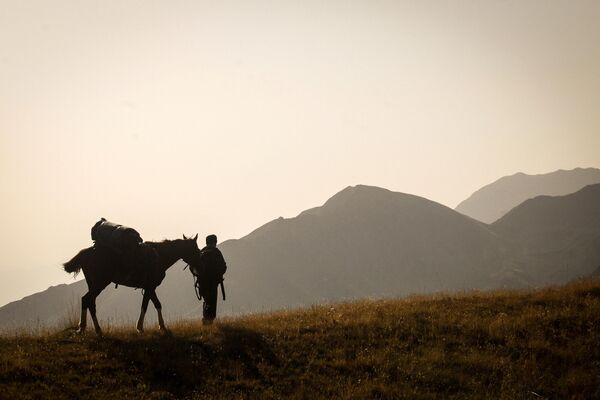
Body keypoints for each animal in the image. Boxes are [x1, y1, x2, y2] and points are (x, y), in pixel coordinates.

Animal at [63, 234, 200, 334]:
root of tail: (88, 252)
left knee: (90, 302)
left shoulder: (150, 288)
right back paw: (83, 328)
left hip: (93, 284)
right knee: (86, 300)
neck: (159, 256)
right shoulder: (149, 287)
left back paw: (95, 329)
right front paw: (140, 327)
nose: (197, 265)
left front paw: (162, 326)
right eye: (196, 249)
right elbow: (145, 306)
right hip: (99, 284)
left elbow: (157, 304)